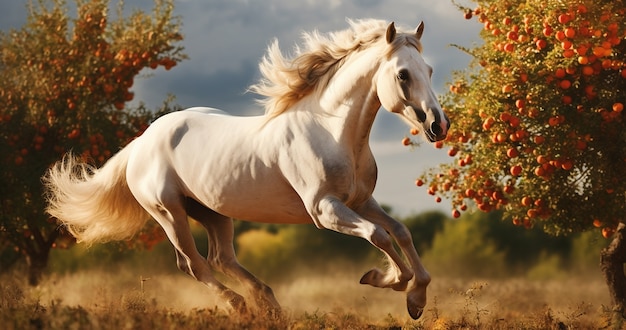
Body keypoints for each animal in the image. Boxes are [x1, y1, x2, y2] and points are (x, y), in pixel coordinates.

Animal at [44, 18, 448, 320]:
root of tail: (142, 141)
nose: (438, 125)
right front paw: (384, 279)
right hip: (169, 212)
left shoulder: (361, 201)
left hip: (212, 212)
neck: (331, 131)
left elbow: (401, 232)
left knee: (221, 258)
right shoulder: (324, 209)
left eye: (429, 69)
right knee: (194, 264)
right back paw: (239, 306)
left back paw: (269, 303)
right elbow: (380, 237)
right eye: (402, 75)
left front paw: (416, 301)